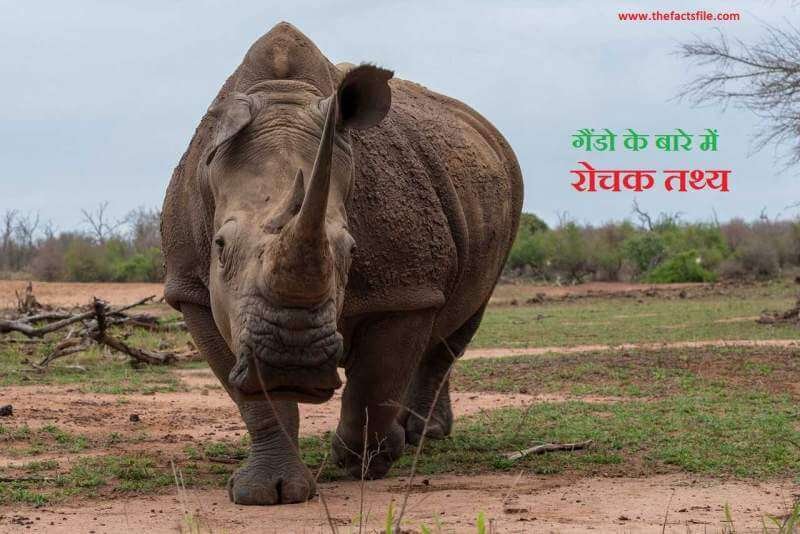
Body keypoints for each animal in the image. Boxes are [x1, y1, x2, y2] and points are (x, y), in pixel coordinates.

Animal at [162, 22, 523, 505]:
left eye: (352, 249)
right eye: (219, 247)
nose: (291, 360)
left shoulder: (406, 288)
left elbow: (375, 380)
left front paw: (366, 461)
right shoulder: (192, 289)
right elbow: (254, 399)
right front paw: (267, 492)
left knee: (460, 320)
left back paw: (421, 436)